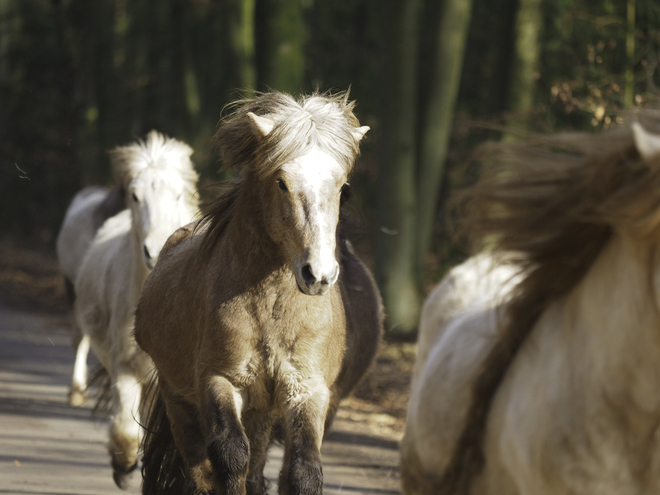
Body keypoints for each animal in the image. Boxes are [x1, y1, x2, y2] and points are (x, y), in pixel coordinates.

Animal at [72, 131, 200, 488]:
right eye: (135, 196)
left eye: (178, 194)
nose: (154, 251)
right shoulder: (125, 366)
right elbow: (127, 431)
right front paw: (125, 471)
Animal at [134, 90, 382, 495]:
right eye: (281, 181)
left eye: (342, 189)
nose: (319, 274)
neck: (272, 308)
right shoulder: (220, 381)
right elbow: (230, 457)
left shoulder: (307, 390)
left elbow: (303, 470)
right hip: (180, 401)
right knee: (201, 471)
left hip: (262, 409)